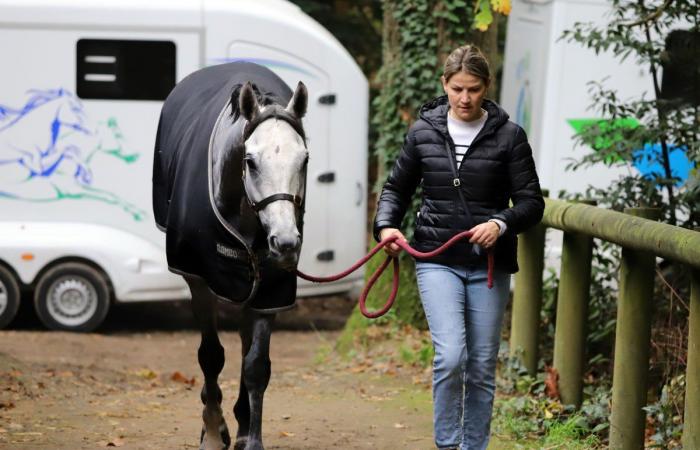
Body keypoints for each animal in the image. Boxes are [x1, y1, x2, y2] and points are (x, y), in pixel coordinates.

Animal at [154, 60, 310, 450]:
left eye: (304, 159)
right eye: (250, 161)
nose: (286, 242)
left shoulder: (270, 290)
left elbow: (256, 366)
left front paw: (251, 438)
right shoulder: (198, 279)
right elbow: (211, 356)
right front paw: (212, 431)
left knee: (243, 345)